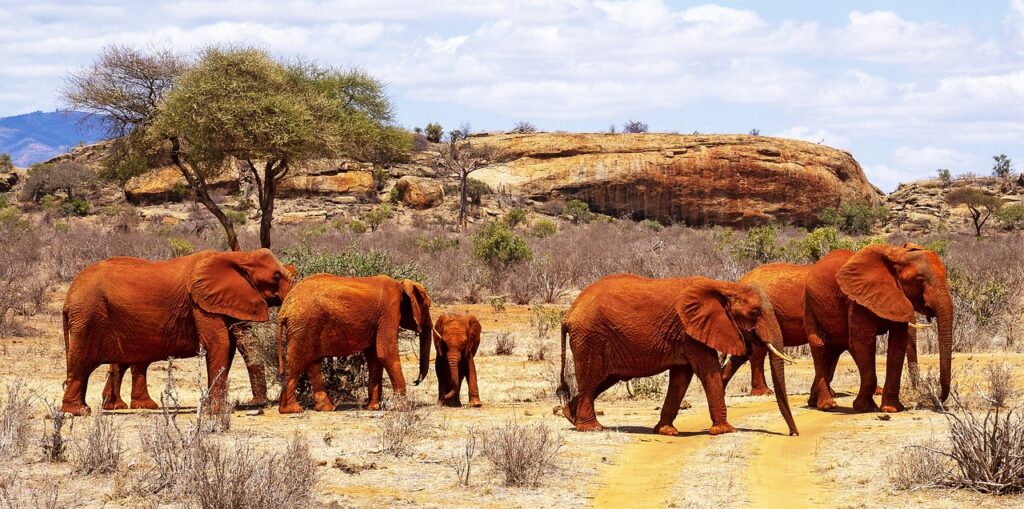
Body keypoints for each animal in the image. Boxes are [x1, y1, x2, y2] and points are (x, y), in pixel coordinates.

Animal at [59, 247, 294, 413]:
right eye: (276, 277)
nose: (257, 403)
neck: (237, 255)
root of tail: (69, 295)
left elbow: (235, 344)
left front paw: (211, 408)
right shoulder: (199, 303)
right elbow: (220, 344)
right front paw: (217, 412)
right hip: (87, 315)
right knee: (82, 362)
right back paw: (79, 411)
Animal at [276, 274, 432, 413]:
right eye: (426, 306)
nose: (415, 382)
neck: (400, 284)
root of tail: (285, 307)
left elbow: (374, 358)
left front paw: (372, 407)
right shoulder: (389, 311)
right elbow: (385, 354)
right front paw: (403, 408)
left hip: (306, 326)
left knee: (312, 363)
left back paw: (326, 408)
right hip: (303, 324)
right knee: (297, 361)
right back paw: (292, 410)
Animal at [552, 274, 798, 436]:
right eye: (755, 313)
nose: (793, 434)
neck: (726, 287)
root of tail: (569, 313)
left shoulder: (687, 334)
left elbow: (681, 377)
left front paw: (666, 431)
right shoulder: (690, 331)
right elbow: (707, 371)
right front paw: (725, 430)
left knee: (603, 380)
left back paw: (569, 416)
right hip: (590, 337)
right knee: (591, 380)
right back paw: (591, 428)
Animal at [729, 242, 950, 413]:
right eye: (920, 281)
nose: (938, 397)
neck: (894, 254)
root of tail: (738, 281)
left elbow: (896, 344)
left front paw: (890, 408)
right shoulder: (856, 302)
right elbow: (860, 343)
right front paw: (864, 406)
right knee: (776, 350)